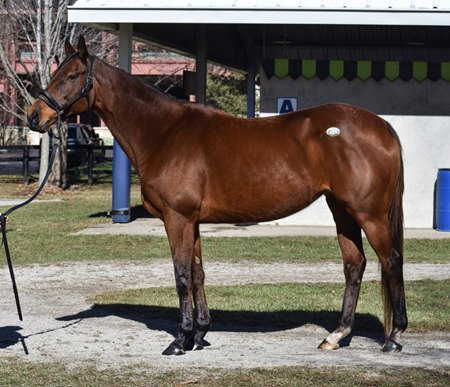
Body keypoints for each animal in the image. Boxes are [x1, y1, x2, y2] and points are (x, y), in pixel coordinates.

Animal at [28, 38, 408, 356]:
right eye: (55, 73)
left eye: (72, 75)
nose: (35, 116)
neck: (164, 132)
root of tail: (382, 127)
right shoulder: (192, 221)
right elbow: (197, 274)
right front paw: (199, 335)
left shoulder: (177, 218)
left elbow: (181, 275)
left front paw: (179, 341)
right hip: (341, 209)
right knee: (354, 265)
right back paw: (336, 335)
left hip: (369, 214)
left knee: (390, 261)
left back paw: (394, 337)